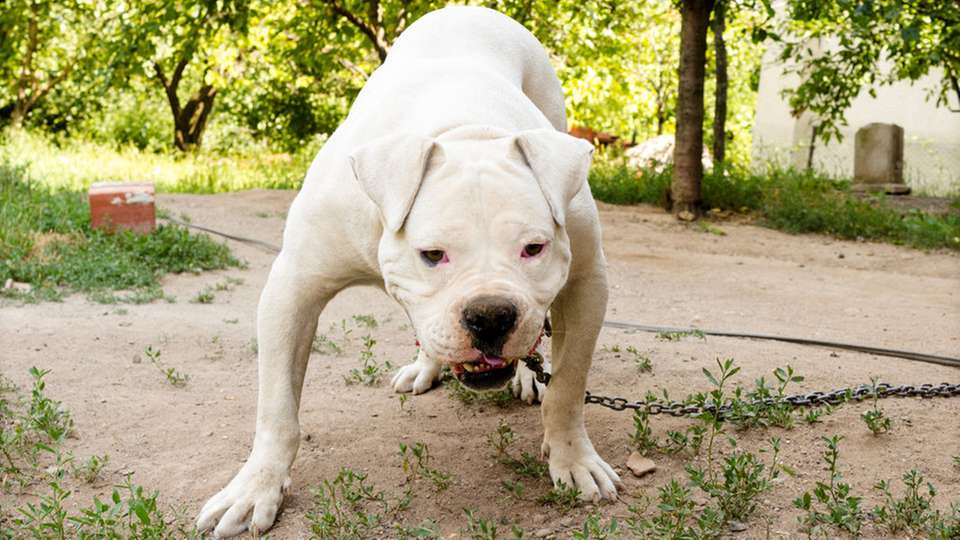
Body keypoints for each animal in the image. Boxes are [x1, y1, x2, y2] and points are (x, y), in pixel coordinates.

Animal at [198, 5, 620, 536]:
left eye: (534, 249)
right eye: (432, 255)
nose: (490, 316)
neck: (465, 132)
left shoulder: (587, 283)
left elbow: (567, 387)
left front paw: (573, 460)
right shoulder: (293, 288)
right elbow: (277, 409)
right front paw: (254, 490)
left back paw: (526, 375)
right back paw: (427, 366)